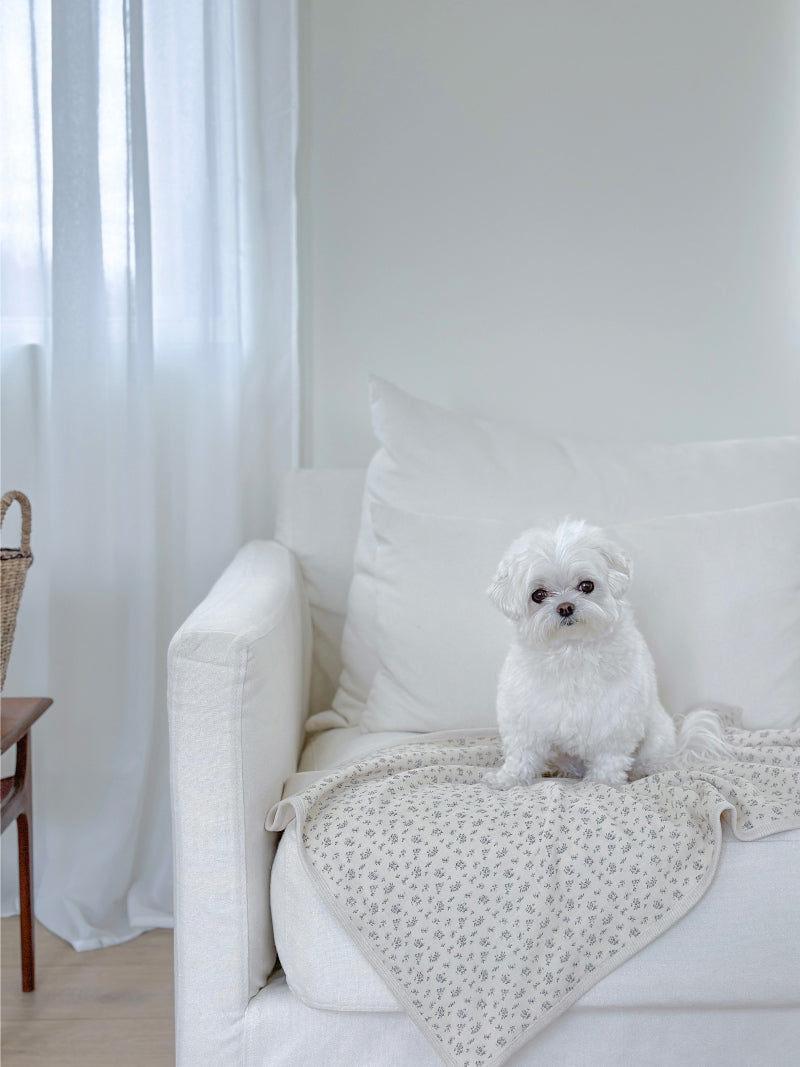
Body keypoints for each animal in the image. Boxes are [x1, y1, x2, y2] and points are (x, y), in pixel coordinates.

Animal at [482, 520, 733, 789]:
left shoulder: (615, 718)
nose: (565, 607)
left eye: (586, 586)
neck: (572, 650)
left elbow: (609, 756)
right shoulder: (525, 716)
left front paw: (602, 783)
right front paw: (507, 779)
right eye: (538, 594)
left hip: (656, 736)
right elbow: (521, 754)